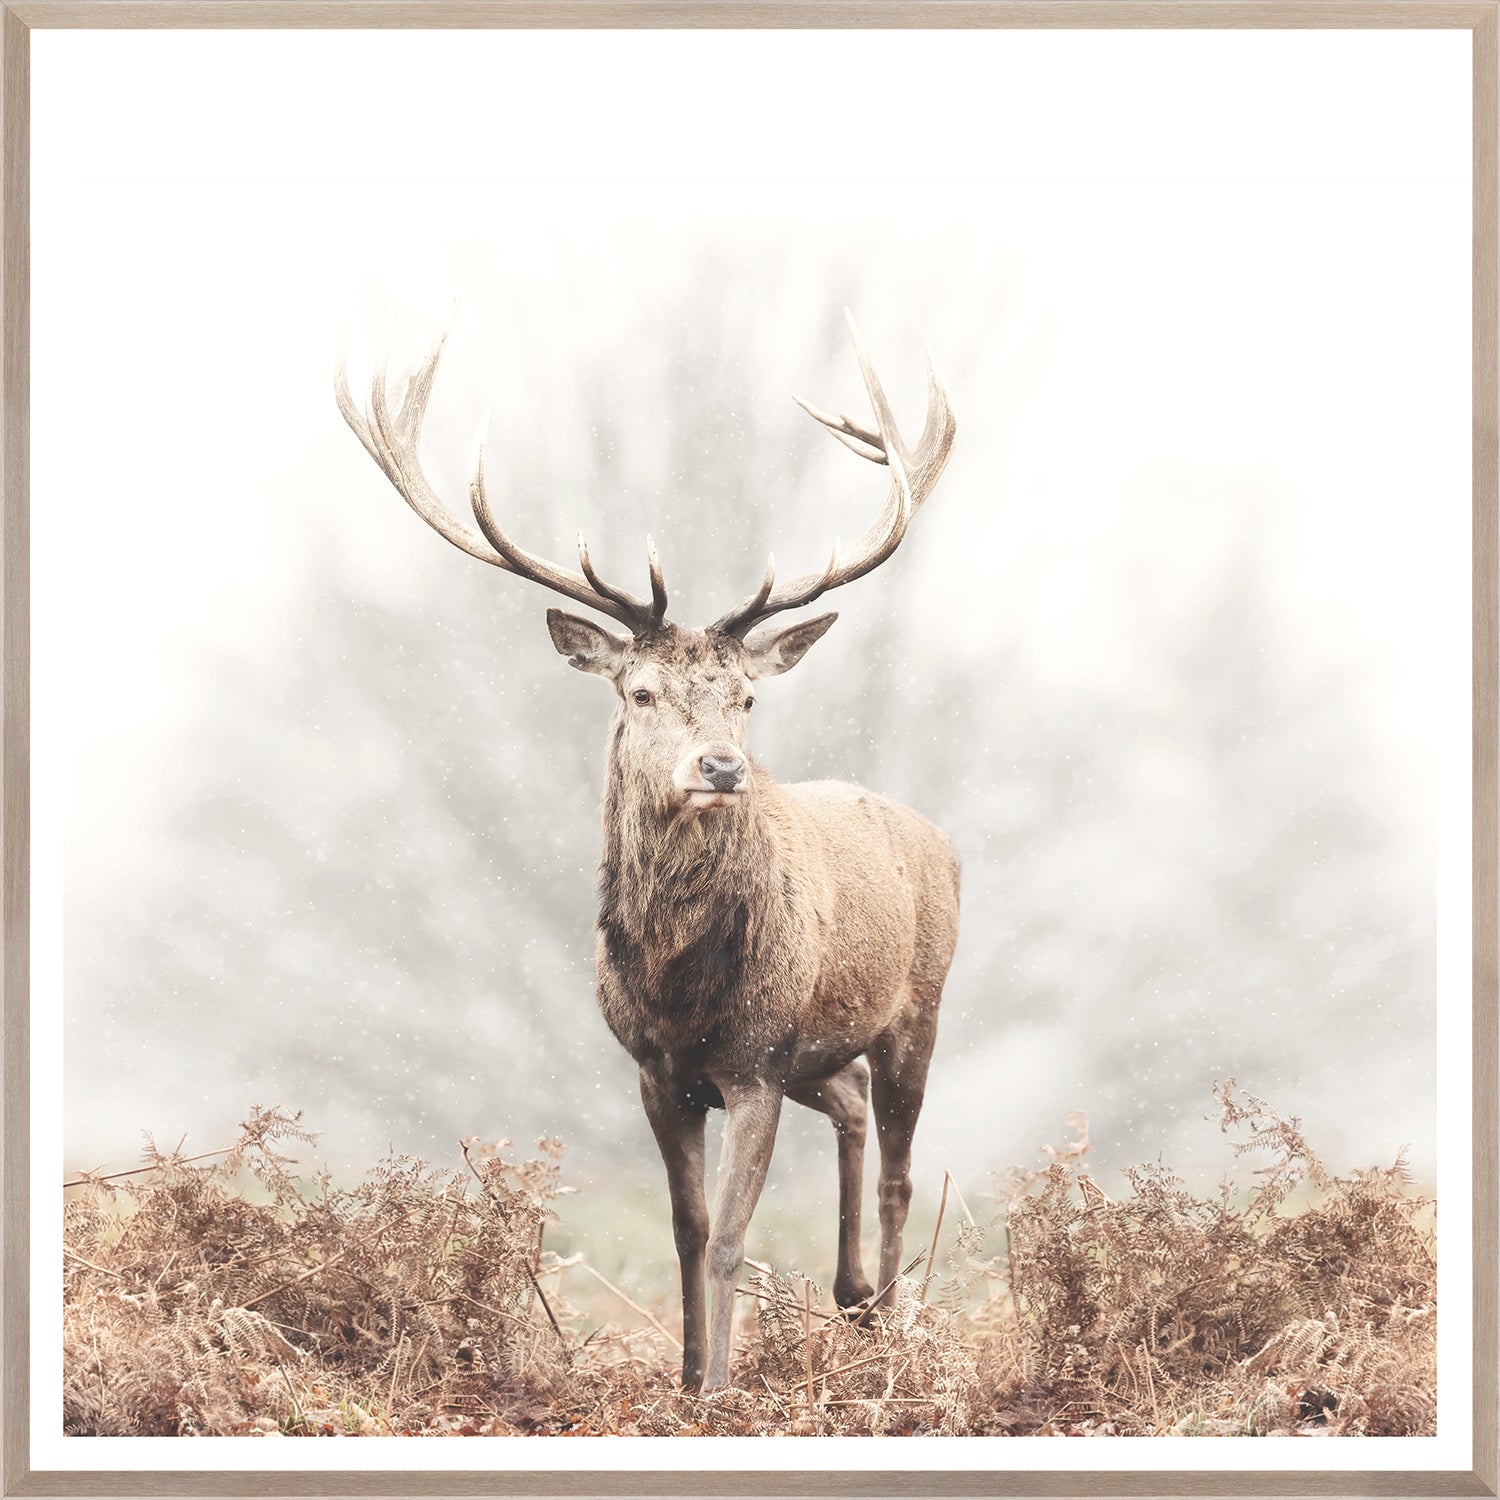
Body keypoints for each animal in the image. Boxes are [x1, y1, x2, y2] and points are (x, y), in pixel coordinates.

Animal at [336, 311, 959, 1392]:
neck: (680, 989)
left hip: (918, 1004)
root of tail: (941, 841)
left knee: (900, 1168)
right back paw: (849, 1298)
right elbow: (685, 1229)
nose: (720, 766)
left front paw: (721, 1388)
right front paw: (684, 1377)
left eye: (746, 698)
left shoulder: (754, 1061)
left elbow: (733, 1239)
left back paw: (886, 1316)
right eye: (640, 692)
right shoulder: (658, 1071)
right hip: (817, 1052)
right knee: (846, 1106)